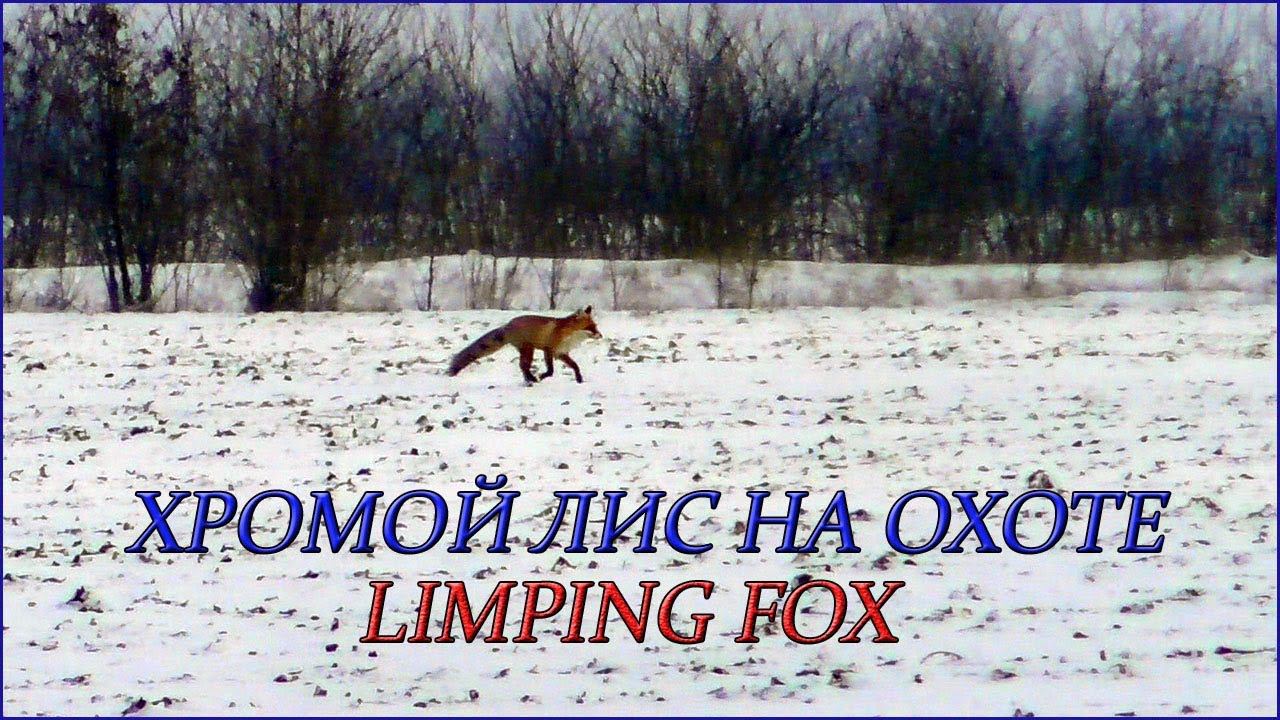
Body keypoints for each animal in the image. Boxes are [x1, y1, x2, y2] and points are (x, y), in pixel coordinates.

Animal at [447, 306, 603, 384]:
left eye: (595, 326)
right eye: (590, 327)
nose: (601, 335)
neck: (570, 336)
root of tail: (507, 325)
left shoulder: (561, 353)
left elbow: (575, 366)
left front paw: (579, 379)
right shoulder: (549, 349)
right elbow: (551, 371)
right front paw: (542, 376)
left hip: (527, 350)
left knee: (522, 366)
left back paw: (529, 379)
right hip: (529, 349)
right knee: (523, 366)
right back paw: (531, 378)